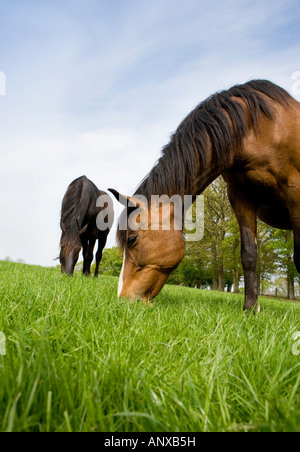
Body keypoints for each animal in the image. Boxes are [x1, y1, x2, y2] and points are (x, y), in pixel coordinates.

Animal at [109, 78, 300, 310]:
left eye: (131, 240)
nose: (123, 298)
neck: (261, 128)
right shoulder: (241, 197)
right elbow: (249, 255)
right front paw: (250, 310)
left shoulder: (295, 193)